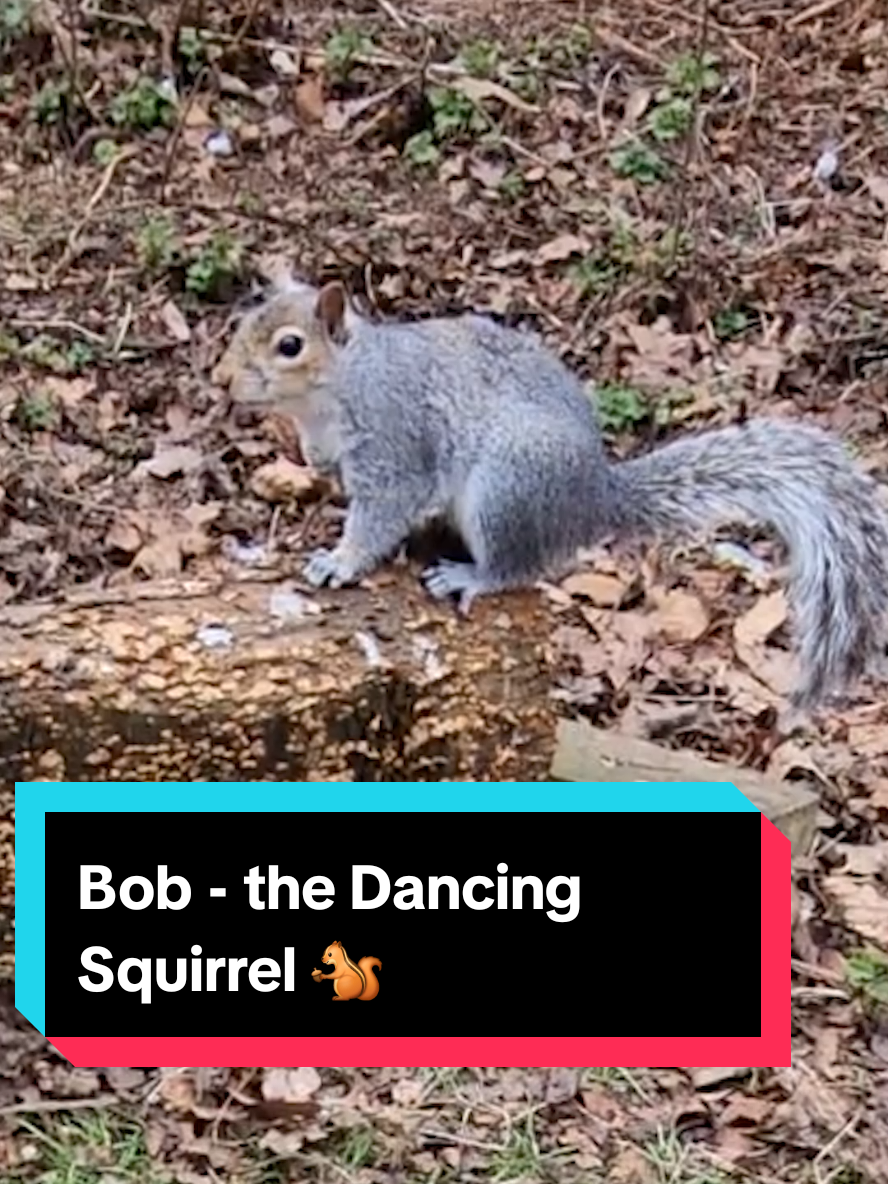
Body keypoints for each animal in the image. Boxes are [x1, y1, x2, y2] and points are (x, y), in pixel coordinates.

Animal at [213, 277, 888, 710]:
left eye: (290, 345)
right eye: (243, 323)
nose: (222, 380)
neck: (339, 386)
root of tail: (592, 497)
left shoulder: (396, 444)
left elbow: (380, 512)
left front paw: (340, 561)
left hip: (506, 489)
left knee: (518, 566)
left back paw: (470, 576)